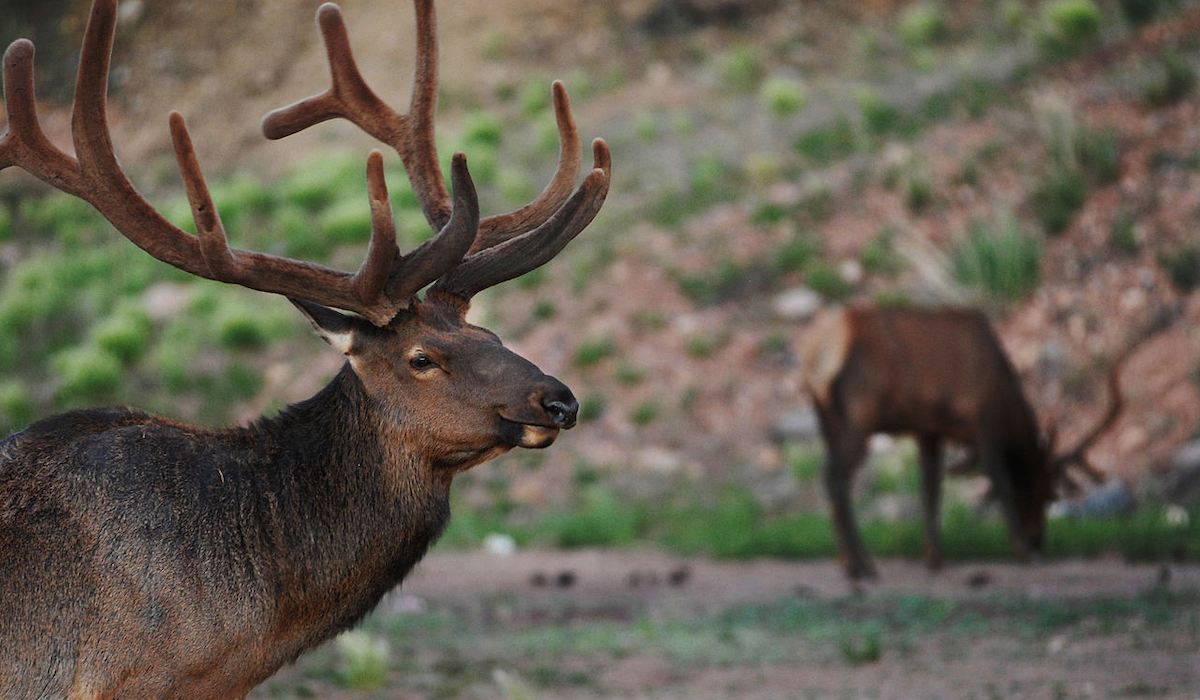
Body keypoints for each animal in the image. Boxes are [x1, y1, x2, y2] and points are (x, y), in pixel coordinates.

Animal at [806, 307, 1123, 581]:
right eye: (1047, 495)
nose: (1038, 540)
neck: (1005, 400)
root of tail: (818, 357)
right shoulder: (985, 425)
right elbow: (1002, 484)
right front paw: (1023, 551)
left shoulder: (928, 430)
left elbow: (931, 490)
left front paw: (935, 557)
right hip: (861, 415)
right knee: (837, 479)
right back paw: (862, 565)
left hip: (828, 421)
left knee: (830, 477)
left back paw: (850, 563)